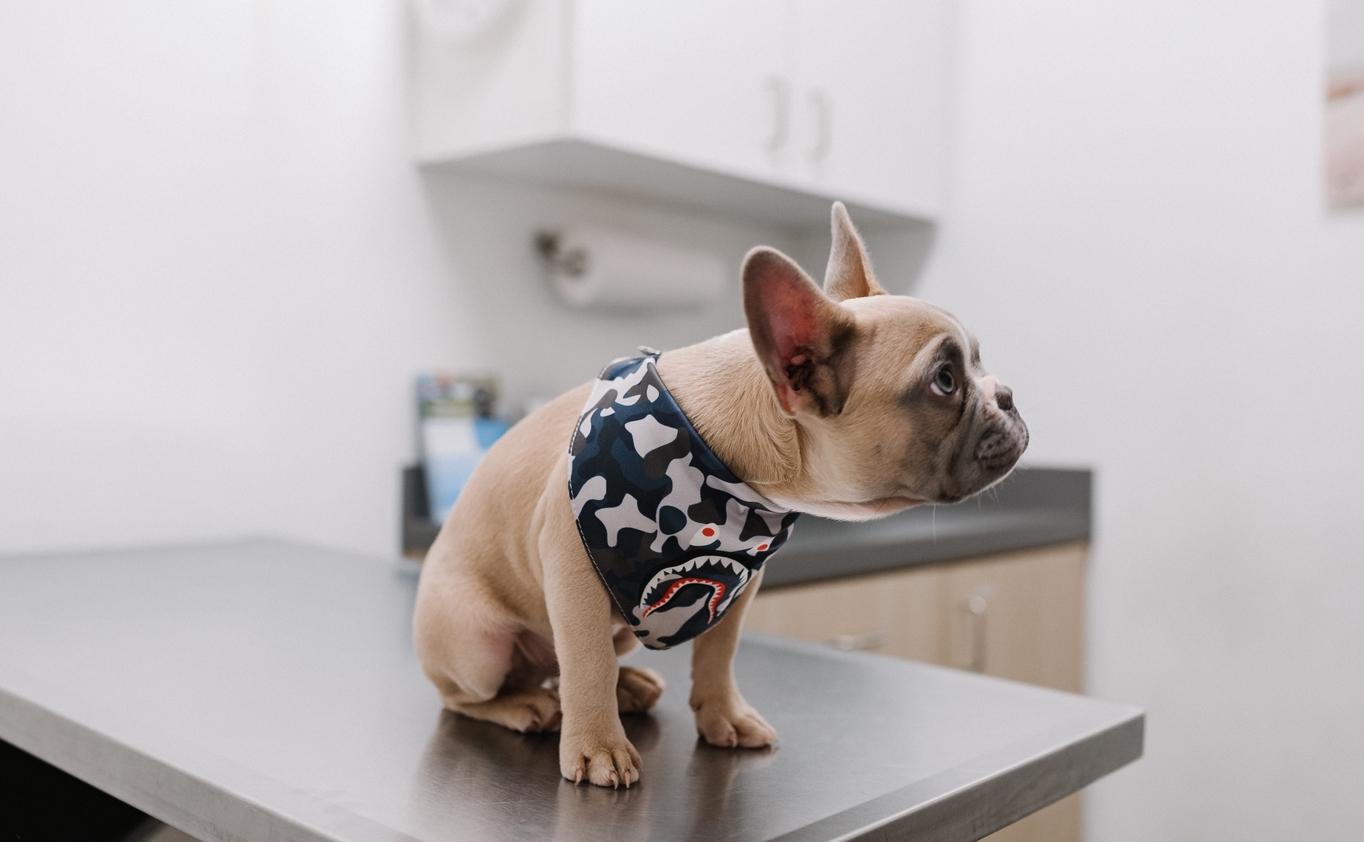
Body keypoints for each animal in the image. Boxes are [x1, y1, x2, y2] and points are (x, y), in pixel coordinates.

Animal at [409, 201, 1025, 786]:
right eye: (944, 381)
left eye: (976, 363)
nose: (1007, 394)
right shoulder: (572, 572)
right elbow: (586, 660)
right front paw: (597, 746)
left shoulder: (736, 583)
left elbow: (718, 653)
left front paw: (722, 715)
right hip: (476, 644)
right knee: (472, 694)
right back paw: (526, 705)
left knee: (565, 665)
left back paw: (626, 685)